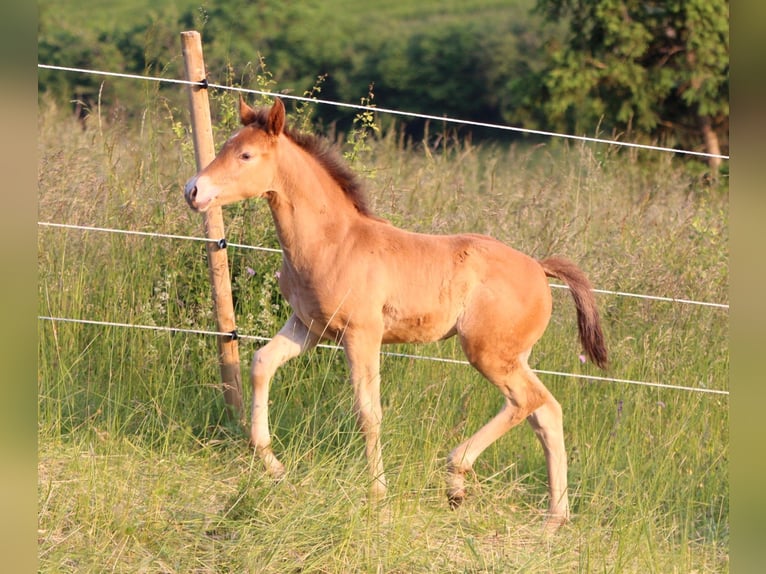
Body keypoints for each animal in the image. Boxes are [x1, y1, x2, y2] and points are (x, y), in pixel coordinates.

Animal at [183, 98, 608, 532]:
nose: (193, 190)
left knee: (529, 400)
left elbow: (368, 412)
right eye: (225, 146)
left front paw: (377, 495)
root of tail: (539, 268)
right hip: (511, 354)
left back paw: (457, 479)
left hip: (486, 351)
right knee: (546, 412)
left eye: (246, 155)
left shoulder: (362, 335)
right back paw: (553, 519)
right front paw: (274, 466)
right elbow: (261, 363)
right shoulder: (308, 327)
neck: (333, 242)